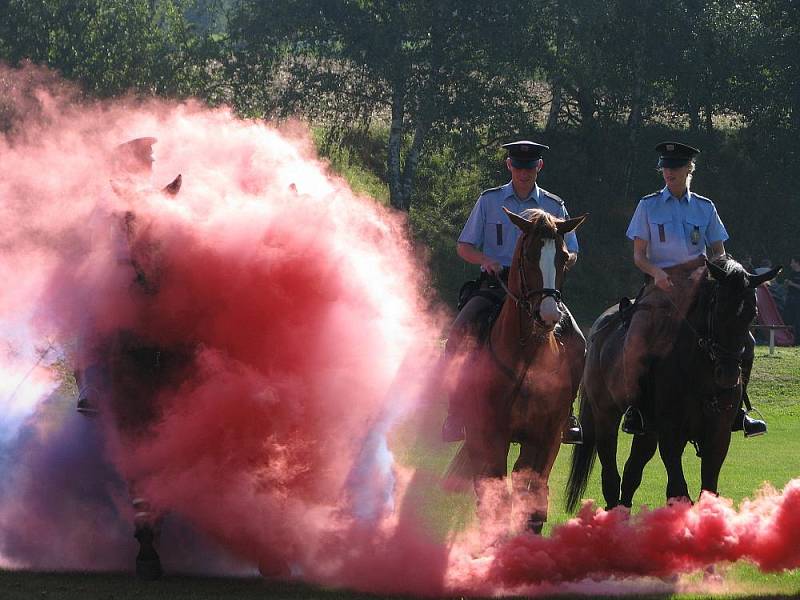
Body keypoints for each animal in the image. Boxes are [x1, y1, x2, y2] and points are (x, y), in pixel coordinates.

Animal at [444, 209, 588, 532]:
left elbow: (533, 504)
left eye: (563, 256)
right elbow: (497, 501)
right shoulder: (491, 436)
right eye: (528, 255)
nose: (548, 314)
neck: (527, 362)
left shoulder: (545, 438)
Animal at [564, 255, 780, 512]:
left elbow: (708, 489)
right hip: (606, 415)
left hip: (647, 431)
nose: (727, 374)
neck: (699, 371)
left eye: (752, 313)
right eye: (718, 308)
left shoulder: (718, 435)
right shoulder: (671, 434)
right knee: (611, 475)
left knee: (632, 472)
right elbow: (678, 491)